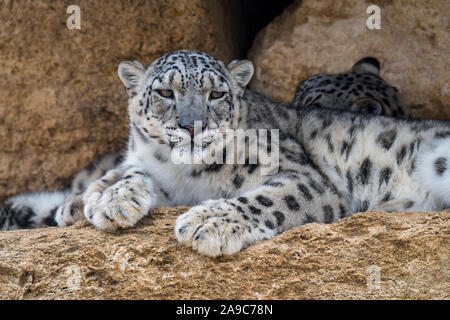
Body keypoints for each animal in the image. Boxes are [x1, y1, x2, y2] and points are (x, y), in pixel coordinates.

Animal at [2, 50, 446, 260]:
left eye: (216, 94)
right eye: (165, 92)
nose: (192, 125)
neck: (186, 177)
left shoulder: (304, 176)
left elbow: (270, 198)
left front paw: (208, 222)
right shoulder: (157, 174)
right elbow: (129, 172)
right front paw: (108, 199)